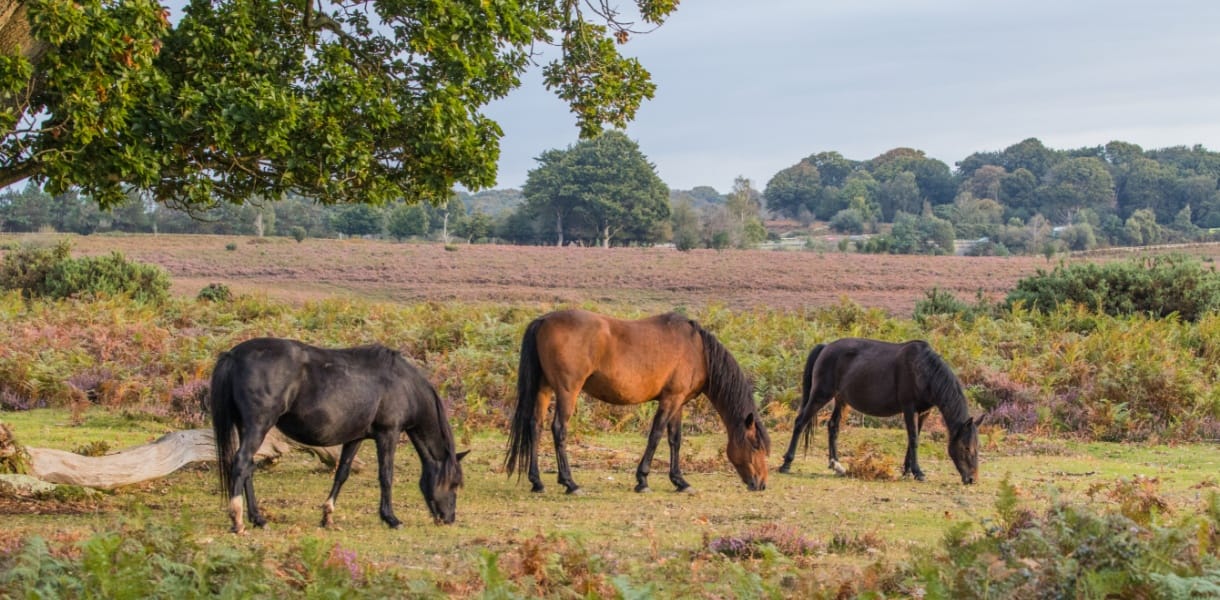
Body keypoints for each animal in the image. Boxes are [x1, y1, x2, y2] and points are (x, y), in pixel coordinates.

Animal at [210, 337, 467, 534]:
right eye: (454, 482)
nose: (449, 518)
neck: (403, 385)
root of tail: (233, 354)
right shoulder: (388, 434)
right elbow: (386, 475)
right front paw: (391, 518)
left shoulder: (355, 438)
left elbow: (342, 473)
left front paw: (327, 515)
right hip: (258, 426)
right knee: (242, 463)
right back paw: (238, 520)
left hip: (246, 427)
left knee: (248, 468)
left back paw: (258, 519)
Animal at [505, 309, 770, 494]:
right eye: (755, 445)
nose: (761, 484)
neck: (698, 351)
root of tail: (543, 320)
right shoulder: (670, 399)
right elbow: (656, 435)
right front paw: (642, 480)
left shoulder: (678, 401)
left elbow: (675, 439)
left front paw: (680, 481)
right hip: (567, 391)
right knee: (558, 429)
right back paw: (570, 483)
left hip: (544, 389)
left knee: (535, 426)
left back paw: (537, 482)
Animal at [777, 338, 979, 484]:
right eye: (966, 447)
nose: (972, 479)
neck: (923, 370)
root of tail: (826, 347)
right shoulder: (909, 408)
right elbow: (913, 439)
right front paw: (918, 472)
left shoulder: (923, 412)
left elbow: (914, 438)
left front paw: (907, 470)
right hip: (821, 394)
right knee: (800, 422)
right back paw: (787, 463)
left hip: (841, 399)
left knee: (833, 426)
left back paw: (836, 465)